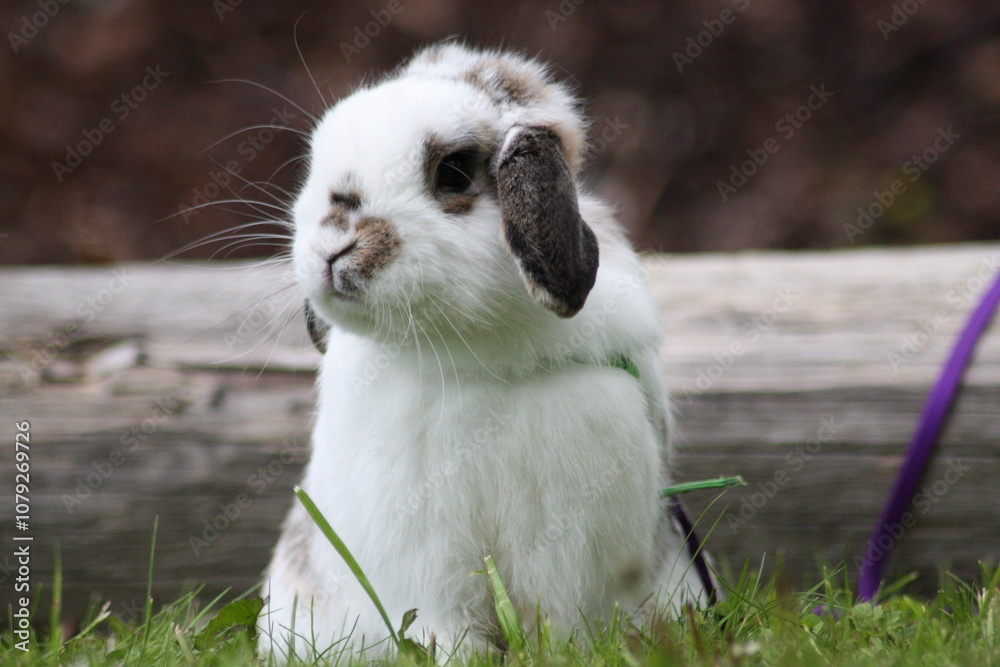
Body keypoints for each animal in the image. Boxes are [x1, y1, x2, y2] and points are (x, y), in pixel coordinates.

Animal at [257, 42, 710, 660]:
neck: (469, 355)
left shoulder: (570, 543)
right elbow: (443, 628)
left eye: (453, 171)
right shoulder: (424, 559)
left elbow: (563, 622)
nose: (332, 247)